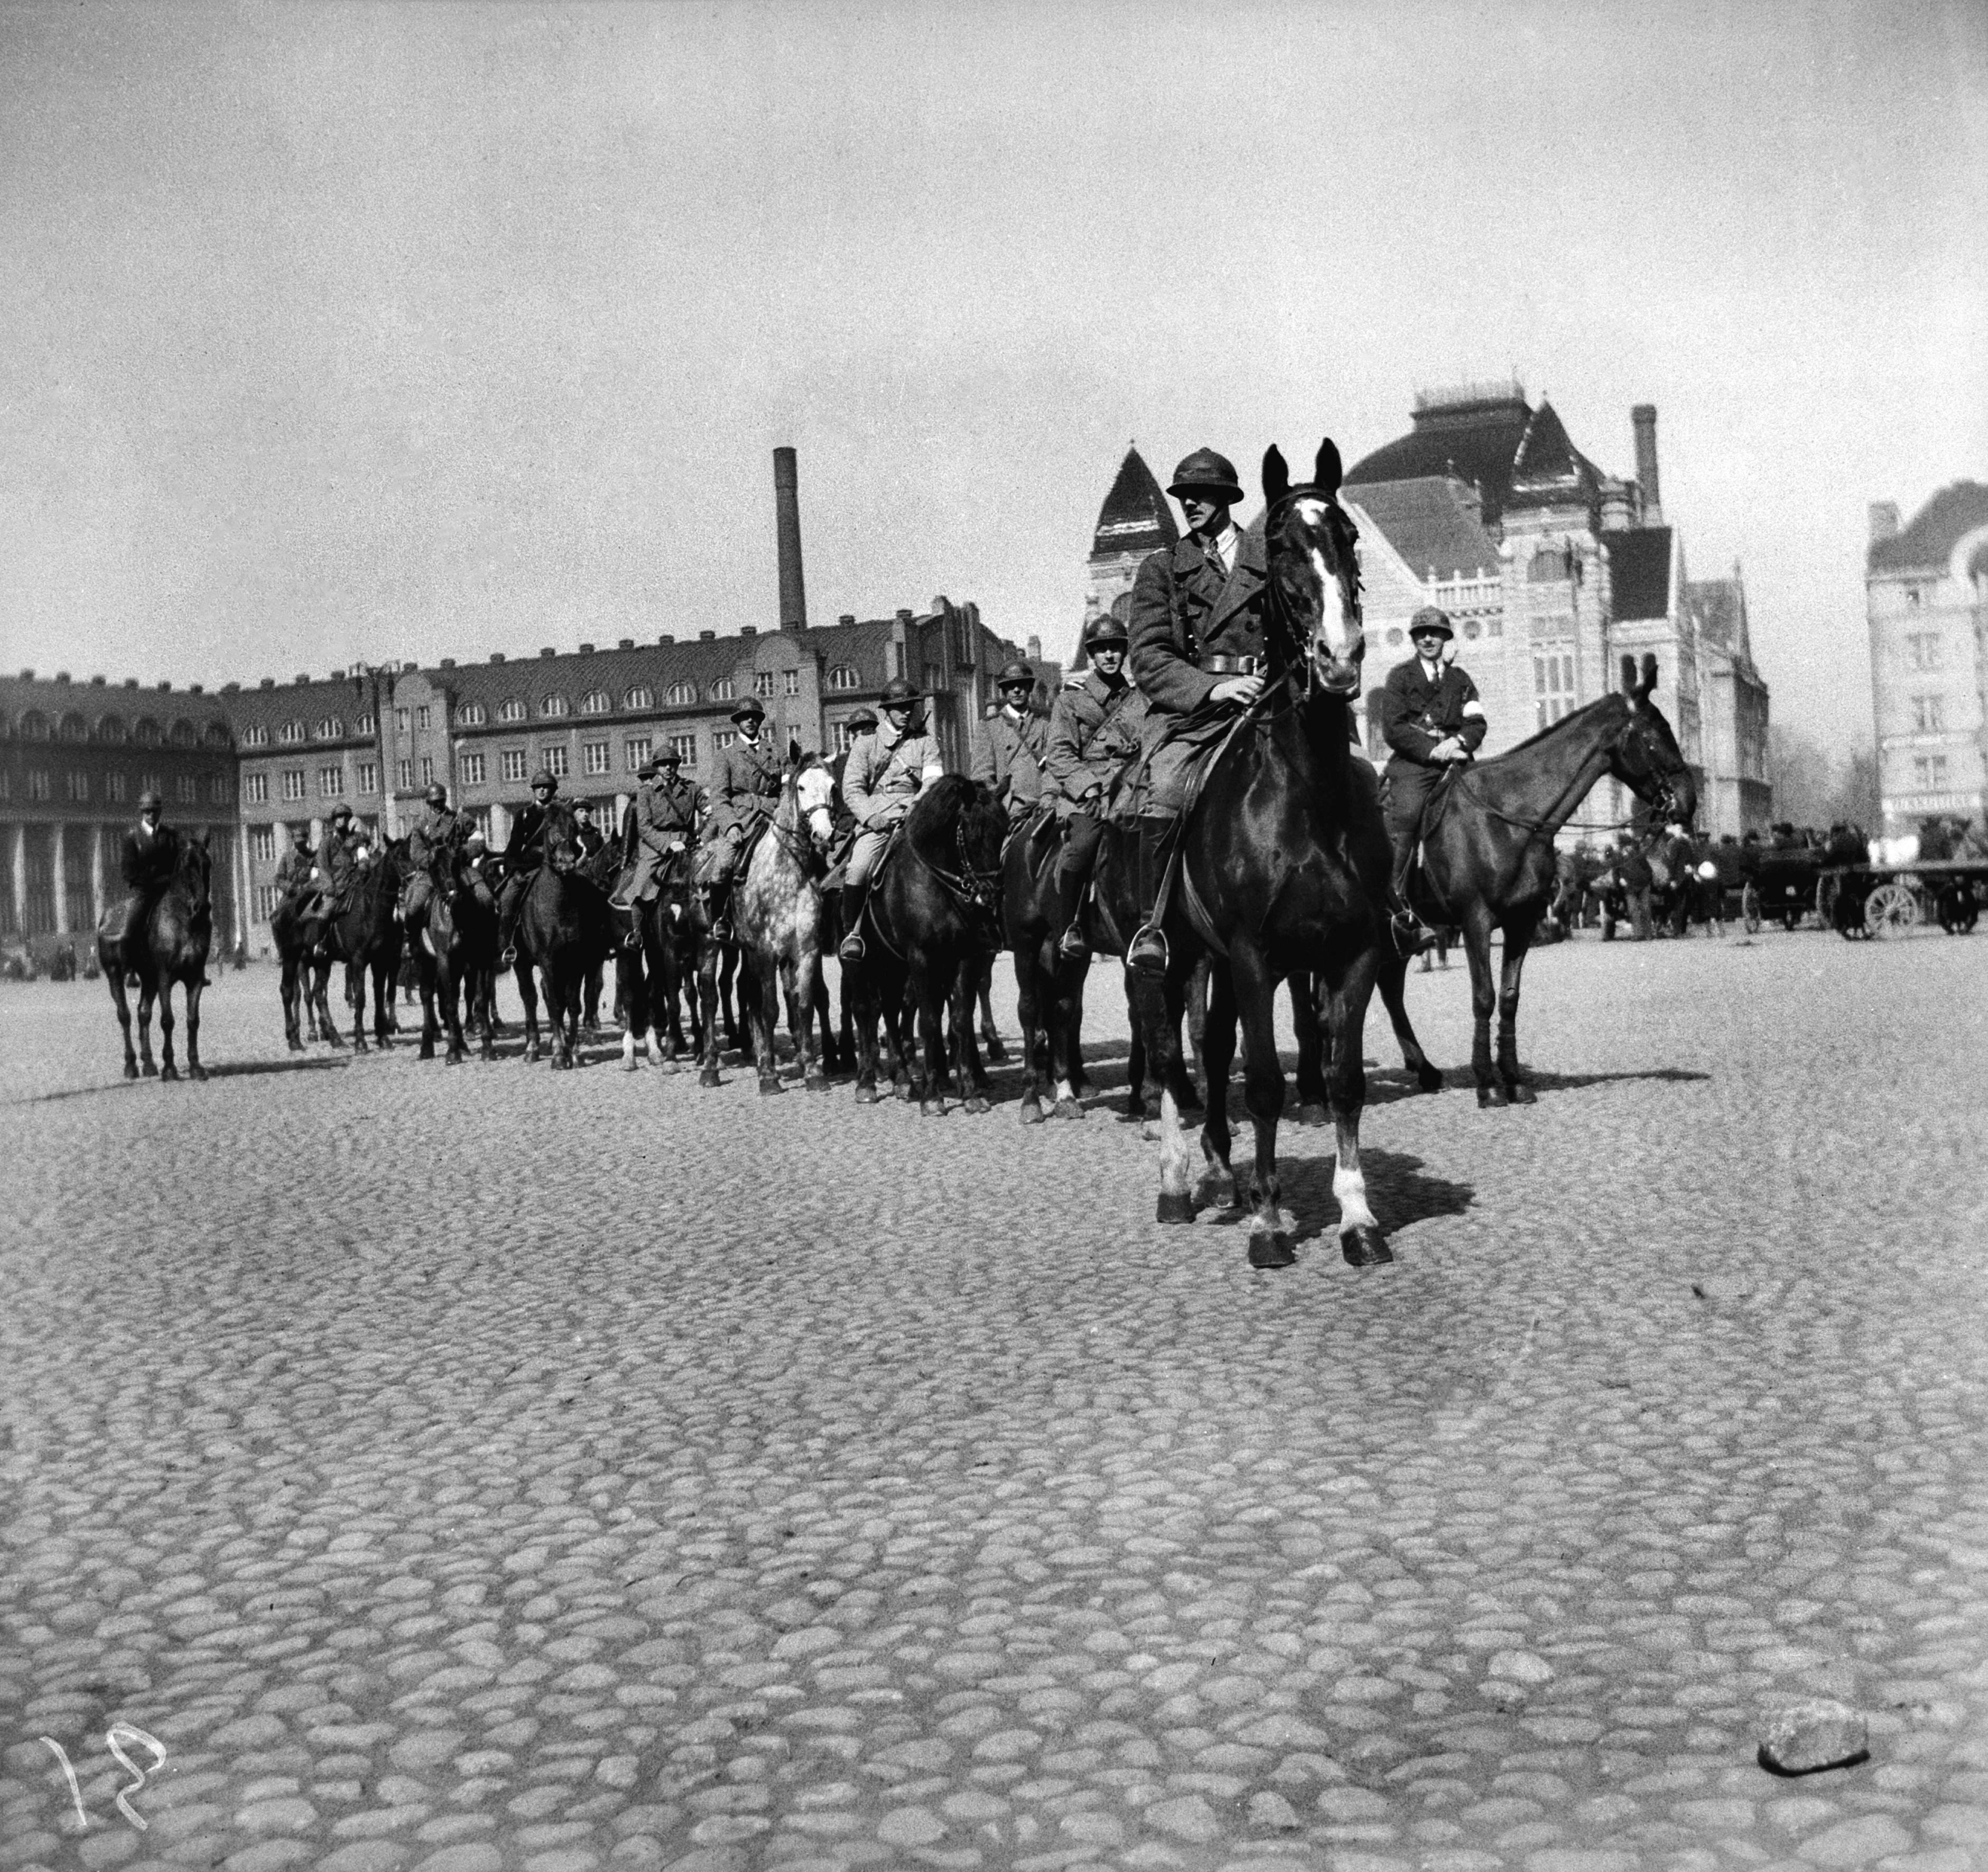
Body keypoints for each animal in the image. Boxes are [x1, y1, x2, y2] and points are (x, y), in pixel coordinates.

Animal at [97, 835, 213, 1081]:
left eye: (207, 864)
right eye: (187, 866)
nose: (202, 907)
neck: (184, 921)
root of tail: (106, 917)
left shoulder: (195, 979)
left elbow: (193, 1021)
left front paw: (196, 1066)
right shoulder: (164, 978)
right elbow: (167, 1020)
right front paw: (170, 1068)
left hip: (149, 979)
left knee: (143, 1014)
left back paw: (149, 1064)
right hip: (116, 974)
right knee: (125, 1016)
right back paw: (131, 1065)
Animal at [1113, 443, 1391, 1272]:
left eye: (1347, 535)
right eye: (1280, 543)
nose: (1340, 656)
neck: (1305, 794)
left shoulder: (1352, 952)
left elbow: (1340, 1079)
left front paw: (1356, 1217)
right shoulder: (1253, 953)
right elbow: (1265, 1083)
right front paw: (1271, 1225)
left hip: (1210, 961)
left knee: (1207, 1050)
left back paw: (1220, 1173)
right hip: (1163, 956)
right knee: (1168, 1055)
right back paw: (1179, 1183)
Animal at [1376, 655, 1702, 1105]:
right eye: (1656, 735)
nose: (1688, 800)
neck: (1508, 816)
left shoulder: (1523, 920)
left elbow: (1510, 998)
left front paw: (1512, 1079)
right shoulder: (1476, 921)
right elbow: (1484, 997)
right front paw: (1486, 1083)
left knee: (1389, 988)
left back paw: (1423, 1070)